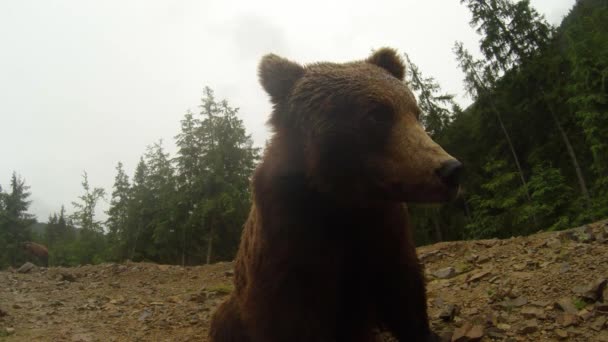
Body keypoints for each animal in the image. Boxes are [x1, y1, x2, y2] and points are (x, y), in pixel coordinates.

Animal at [209, 48, 460, 342]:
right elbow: (288, 316)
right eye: (377, 115)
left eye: (415, 112)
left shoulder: (383, 227)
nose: (451, 170)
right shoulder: (286, 235)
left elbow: (401, 286)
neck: (341, 198)